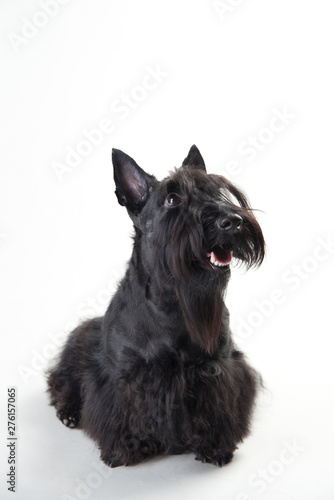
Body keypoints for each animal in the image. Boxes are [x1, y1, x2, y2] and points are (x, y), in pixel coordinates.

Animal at [47, 146, 266, 468]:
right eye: (172, 199)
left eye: (215, 192)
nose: (233, 221)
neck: (172, 304)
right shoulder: (124, 376)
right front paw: (123, 450)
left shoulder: (218, 366)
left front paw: (214, 446)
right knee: (62, 382)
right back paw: (70, 412)